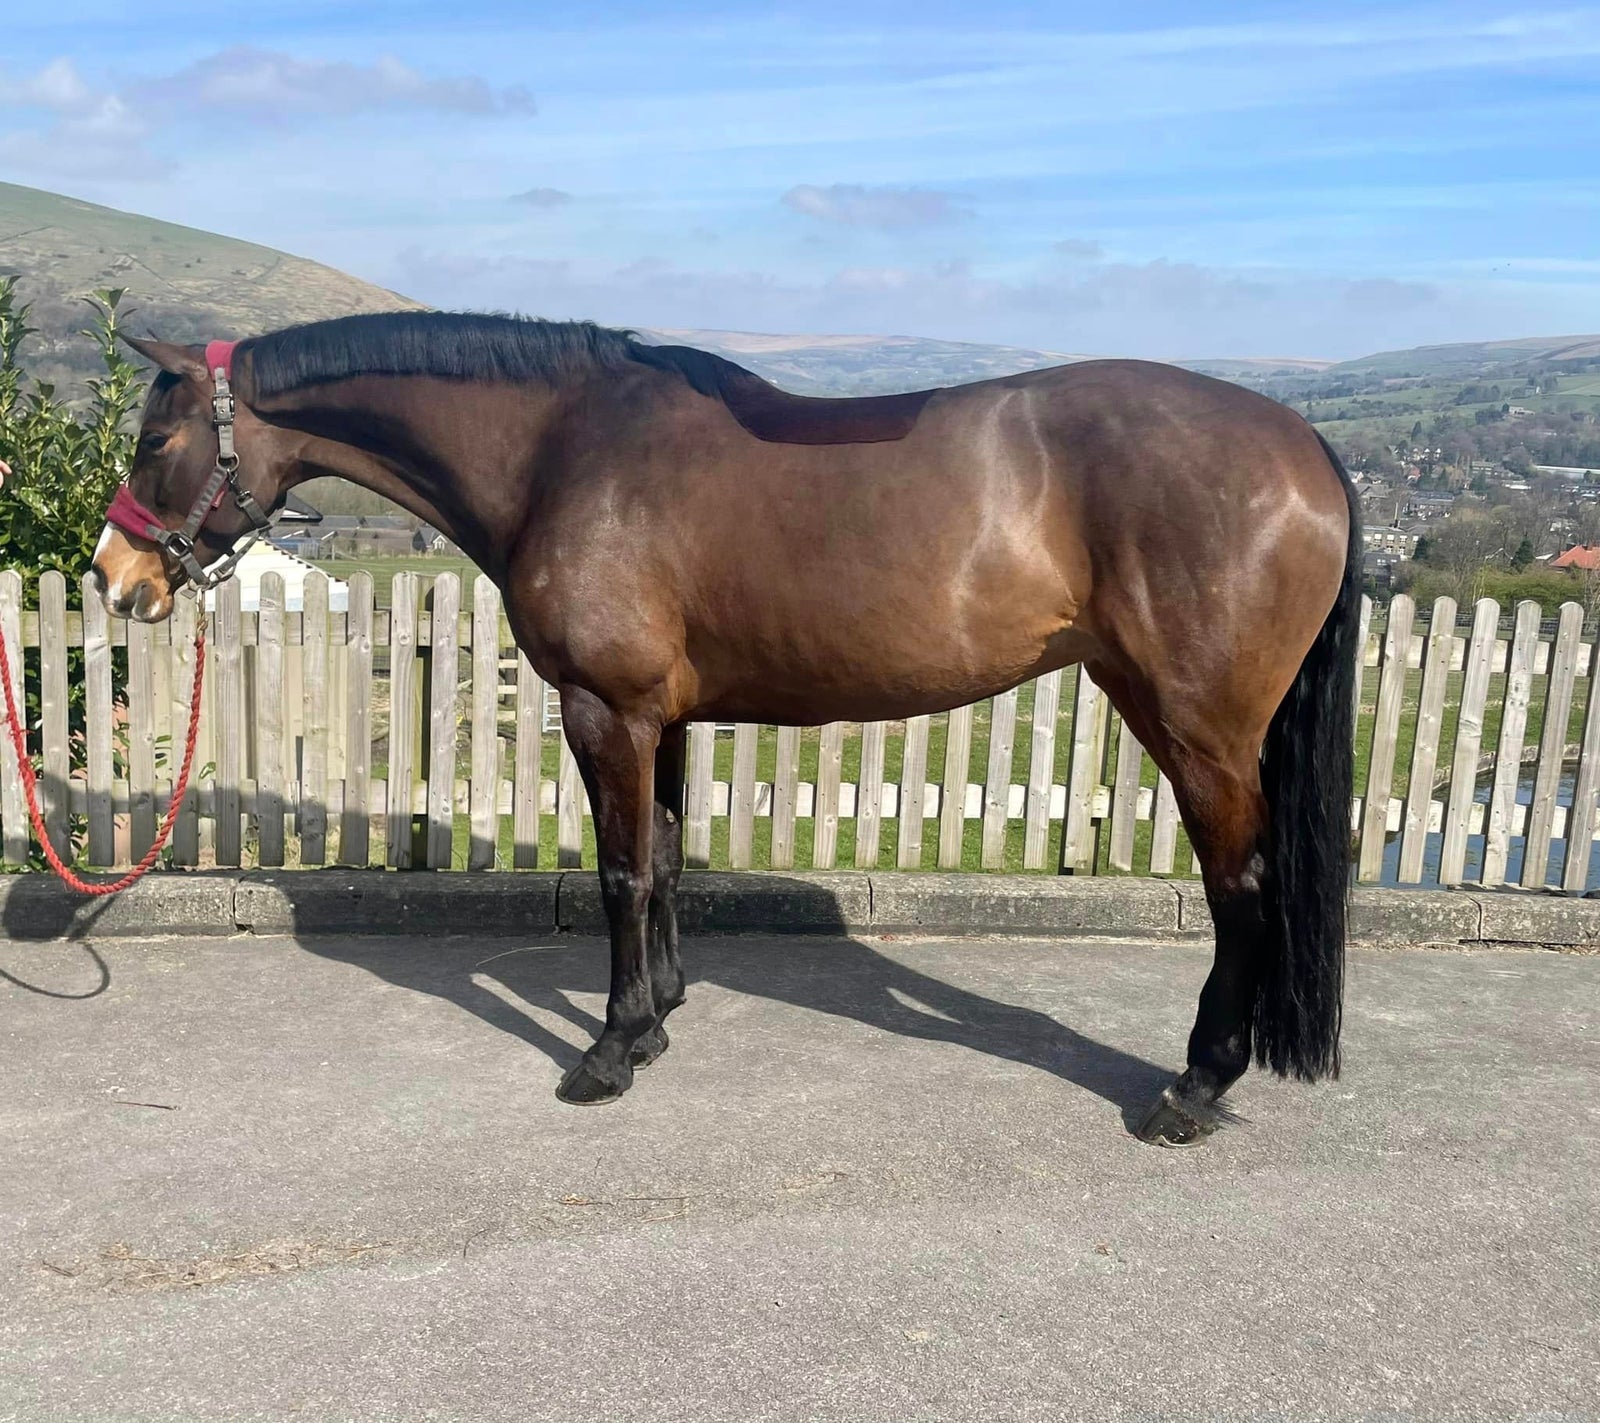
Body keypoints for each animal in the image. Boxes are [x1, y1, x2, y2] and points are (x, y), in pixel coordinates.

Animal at [93, 310, 1356, 1146]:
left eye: (155, 445)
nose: (115, 582)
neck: (564, 450)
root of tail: (1302, 450)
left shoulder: (602, 708)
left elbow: (618, 872)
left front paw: (606, 1054)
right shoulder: (661, 716)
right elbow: (661, 861)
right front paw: (655, 1022)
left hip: (1195, 730)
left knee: (1242, 890)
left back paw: (1193, 1088)